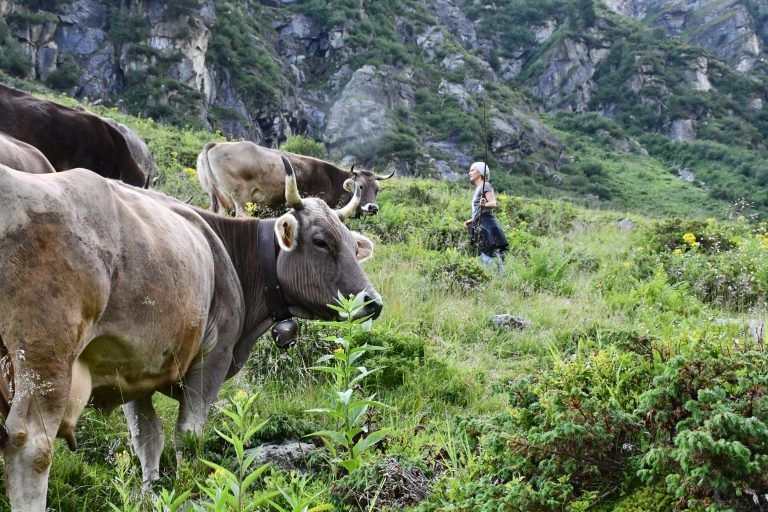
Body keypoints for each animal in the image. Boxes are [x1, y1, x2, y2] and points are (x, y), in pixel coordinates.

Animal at [0, 156, 382, 511]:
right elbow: (188, 435)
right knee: (32, 445)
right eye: (321, 242)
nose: (373, 302)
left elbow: (147, 438)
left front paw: (150, 493)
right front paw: (189, 487)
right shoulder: (213, 357)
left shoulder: (132, 366)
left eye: (352, 245)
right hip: (45, 355)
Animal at [196, 141, 394, 217]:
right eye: (359, 186)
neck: (332, 179)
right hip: (240, 198)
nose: (373, 208)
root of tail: (216, 144)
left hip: (217, 199)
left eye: (377, 189)